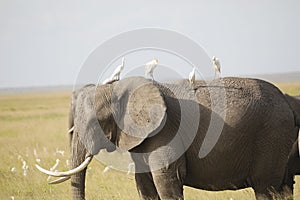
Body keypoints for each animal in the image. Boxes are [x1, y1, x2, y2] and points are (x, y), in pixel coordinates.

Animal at [36, 76, 298, 199]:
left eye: (94, 124)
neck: (117, 86)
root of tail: (288, 101)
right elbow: (144, 185)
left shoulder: (166, 132)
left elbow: (166, 181)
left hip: (272, 136)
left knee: (265, 188)